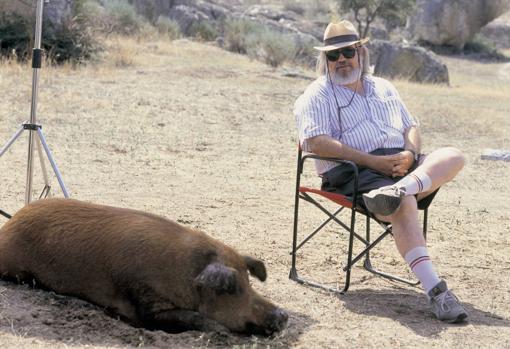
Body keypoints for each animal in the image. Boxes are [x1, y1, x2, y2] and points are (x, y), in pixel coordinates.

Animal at [0, 197, 286, 334]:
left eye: (249, 282)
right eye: (233, 287)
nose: (282, 314)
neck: (186, 275)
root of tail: (11, 222)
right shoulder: (145, 303)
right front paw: (220, 330)